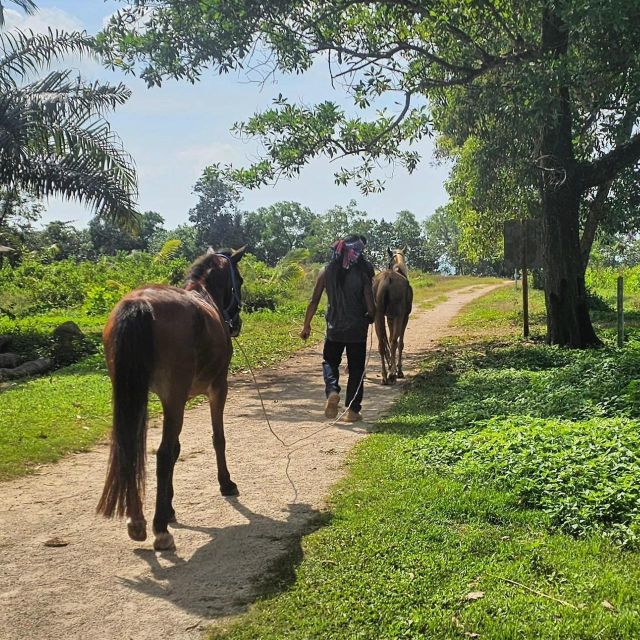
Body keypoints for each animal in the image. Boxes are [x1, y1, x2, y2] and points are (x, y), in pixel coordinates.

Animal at [97, 245, 248, 552]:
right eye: (238, 279)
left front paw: (169, 508)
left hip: (134, 395)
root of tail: (139, 303)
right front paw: (225, 483)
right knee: (163, 454)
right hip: (174, 395)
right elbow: (216, 439)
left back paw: (138, 522)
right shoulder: (217, 387)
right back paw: (160, 530)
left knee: (132, 449)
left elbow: (178, 448)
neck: (205, 296)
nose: (236, 322)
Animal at [372, 246, 412, 384]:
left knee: (381, 344)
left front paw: (391, 366)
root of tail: (387, 279)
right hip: (399, 316)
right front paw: (398, 370)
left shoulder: (389, 317)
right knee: (395, 342)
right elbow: (400, 343)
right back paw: (393, 374)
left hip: (378, 316)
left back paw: (385, 375)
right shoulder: (404, 317)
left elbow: (388, 338)